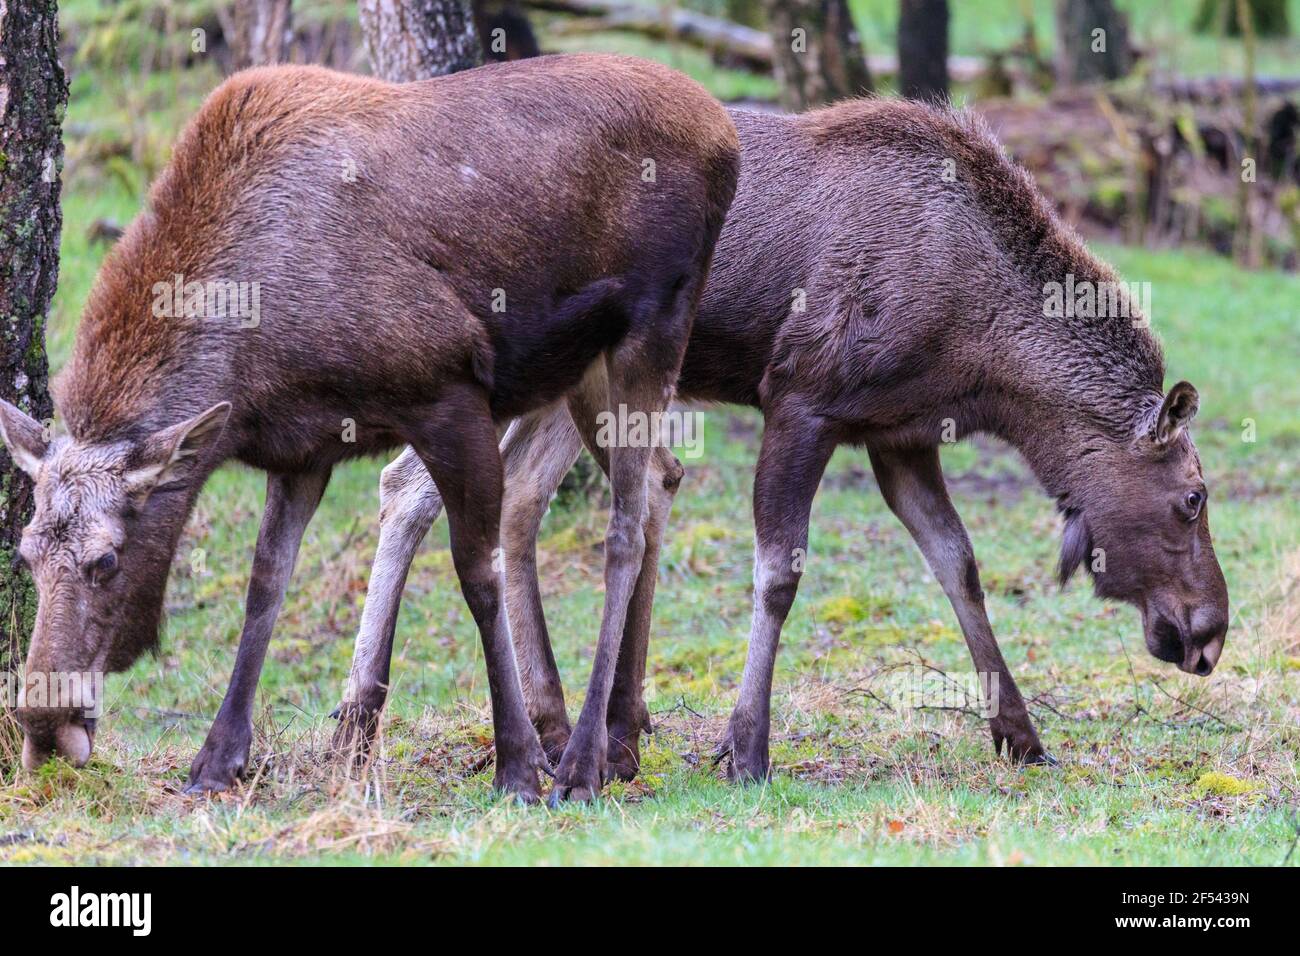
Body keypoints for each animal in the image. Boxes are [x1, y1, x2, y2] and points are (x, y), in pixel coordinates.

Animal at [0, 55, 738, 806]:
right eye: (25, 555)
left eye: (106, 560)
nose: (43, 730)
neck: (251, 353)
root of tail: (722, 129)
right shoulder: (302, 449)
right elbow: (266, 583)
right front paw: (217, 758)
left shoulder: (449, 397)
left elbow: (477, 576)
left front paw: (517, 764)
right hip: (583, 372)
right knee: (659, 479)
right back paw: (622, 740)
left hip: (653, 332)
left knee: (623, 527)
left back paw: (583, 761)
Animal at [335, 98, 1227, 790]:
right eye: (1193, 496)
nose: (1210, 633)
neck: (982, 363)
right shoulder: (803, 397)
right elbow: (778, 571)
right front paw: (746, 747)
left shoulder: (899, 435)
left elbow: (958, 564)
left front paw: (1021, 734)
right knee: (410, 485)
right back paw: (362, 720)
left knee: (509, 496)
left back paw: (549, 724)